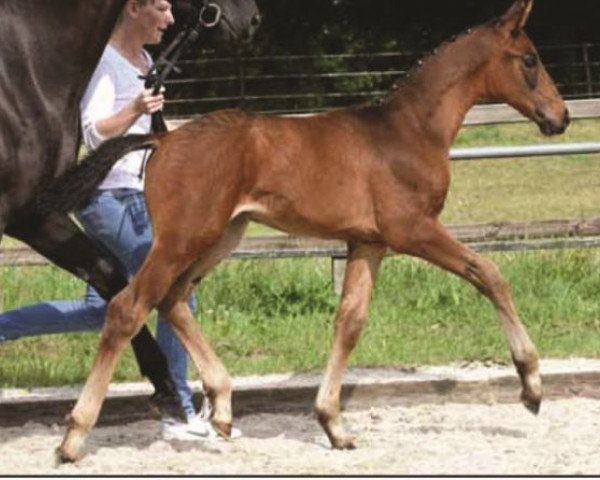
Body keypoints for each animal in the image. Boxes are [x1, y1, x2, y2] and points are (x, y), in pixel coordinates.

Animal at [54, 0, 568, 460]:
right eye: (529, 59)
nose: (559, 116)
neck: (408, 131)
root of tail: (163, 139)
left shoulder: (368, 243)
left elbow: (350, 322)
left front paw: (333, 424)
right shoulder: (414, 229)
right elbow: (489, 273)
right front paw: (531, 387)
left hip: (222, 236)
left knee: (173, 299)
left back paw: (222, 407)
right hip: (184, 238)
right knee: (129, 307)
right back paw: (74, 437)